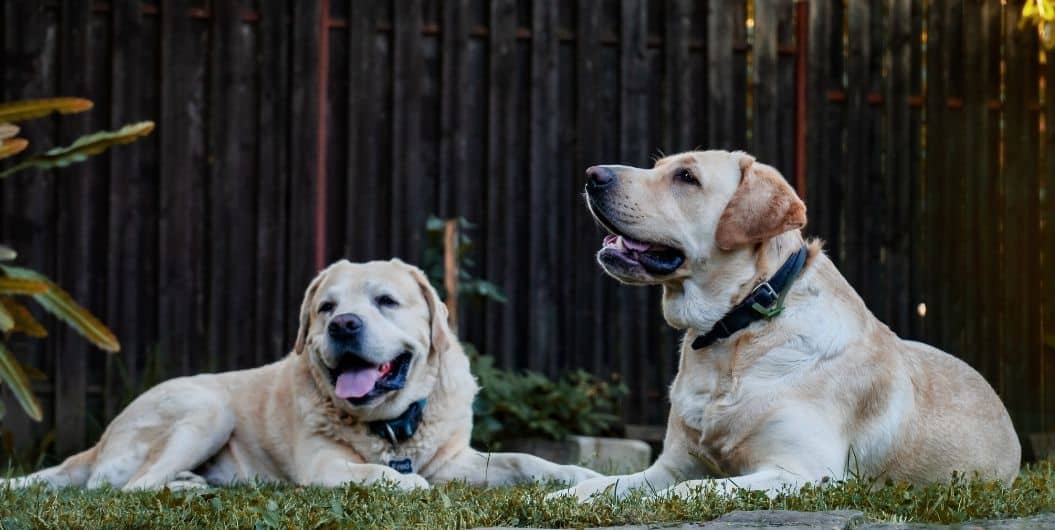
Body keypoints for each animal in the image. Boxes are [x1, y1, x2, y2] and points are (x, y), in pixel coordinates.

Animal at [2, 258, 603, 489]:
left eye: (386, 301)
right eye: (325, 307)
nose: (343, 325)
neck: (392, 427)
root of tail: (98, 442)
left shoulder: (457, 460)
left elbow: (524, 460)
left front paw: (579, 476)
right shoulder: (324, 465)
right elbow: (384, 475)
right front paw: (405, 484)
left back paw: (197, 484)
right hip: (207, 408)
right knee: (130, 487)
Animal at [552, 149, 1021, 500]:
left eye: (686, 177)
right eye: (658, 166)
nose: (593, 174)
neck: (736, 332)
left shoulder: (805, 472)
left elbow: (692, 490)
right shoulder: (671, 464)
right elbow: (608, 483)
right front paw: (563, 495)